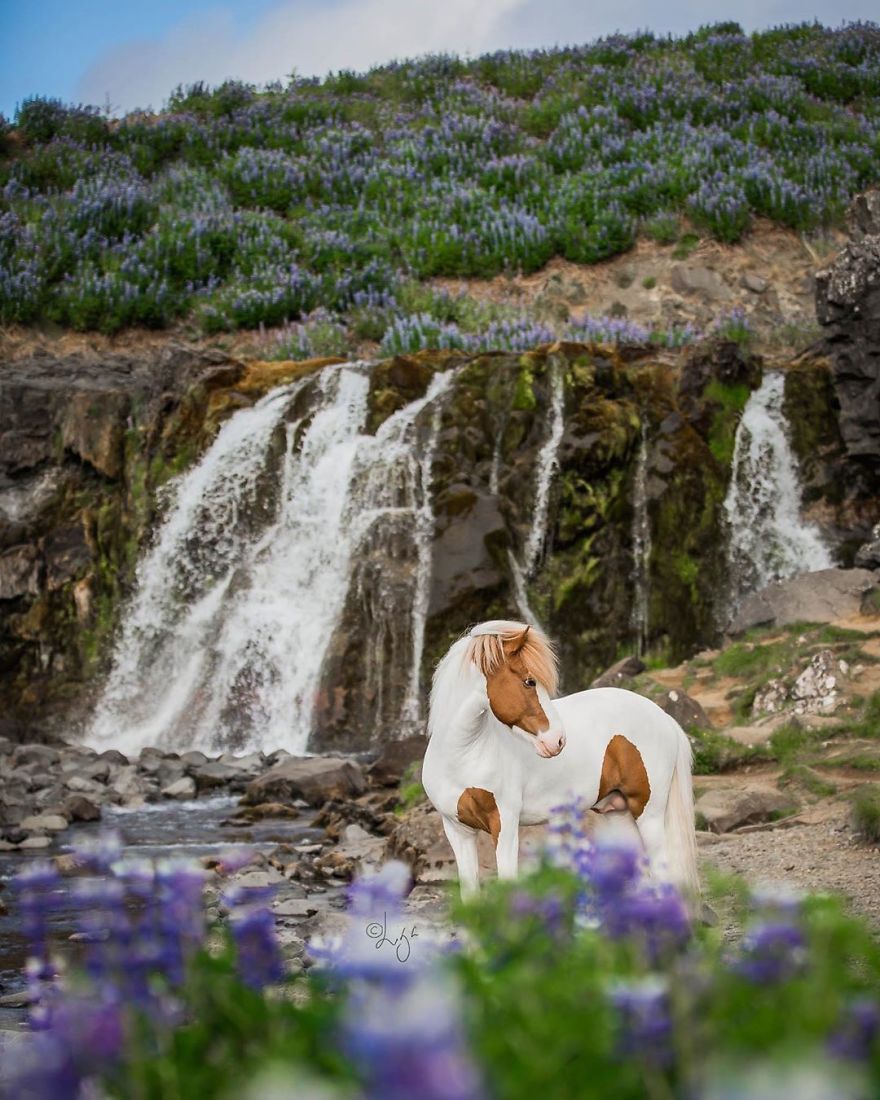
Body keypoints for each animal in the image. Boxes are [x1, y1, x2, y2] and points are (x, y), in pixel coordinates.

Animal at [421, 620, 699, 899]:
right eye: (529, 681)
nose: (557, 740)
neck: (464, 756)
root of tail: (664, 716)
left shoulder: (505, 825)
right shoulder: (457, 831)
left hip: (648, 814)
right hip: (619, 814)